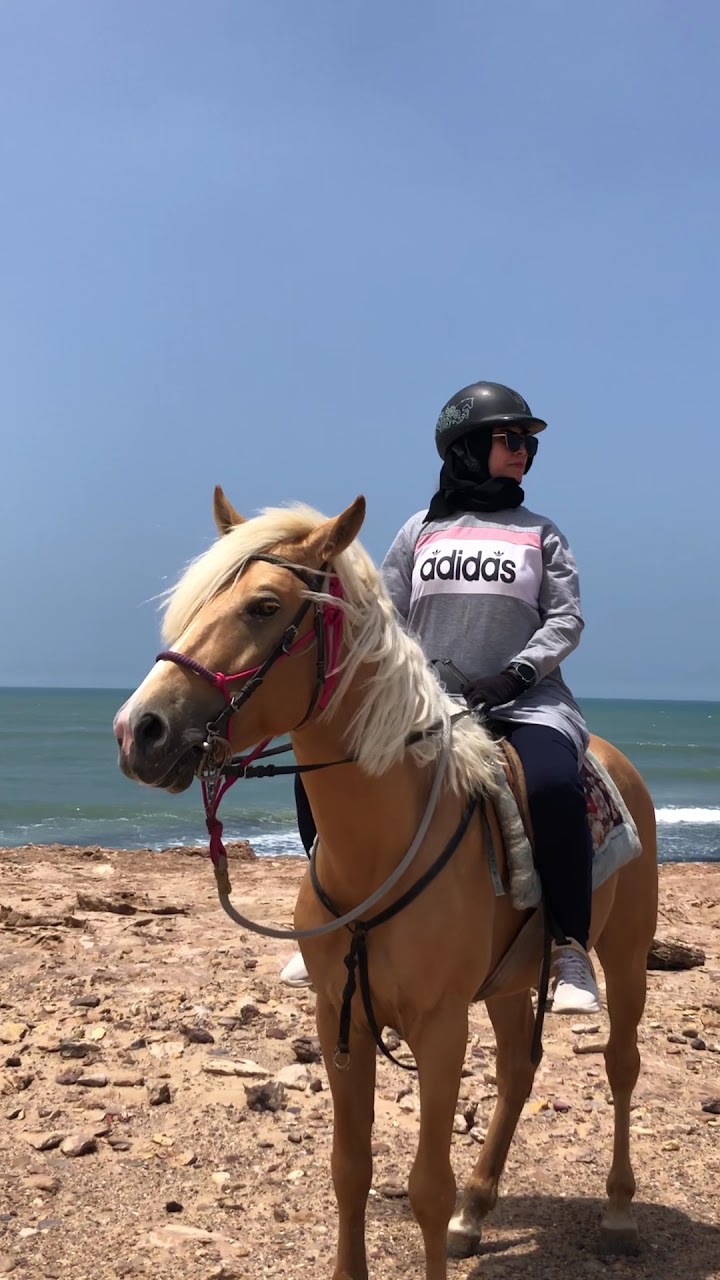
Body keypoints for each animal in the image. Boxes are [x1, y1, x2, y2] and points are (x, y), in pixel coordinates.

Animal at [113, 488, 659, 1280]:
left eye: (264, 607)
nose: (139, 731)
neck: (379, 846)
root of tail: (618, 762)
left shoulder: (440, 1028)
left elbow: (426, 1187)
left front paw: (446, 1208)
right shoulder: (340, 1021)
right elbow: (351, 1169)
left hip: (625, 953)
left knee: (621, 1063)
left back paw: (617, 1212)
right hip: (505, 984)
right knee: (518, 1072)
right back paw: (477, 1209)